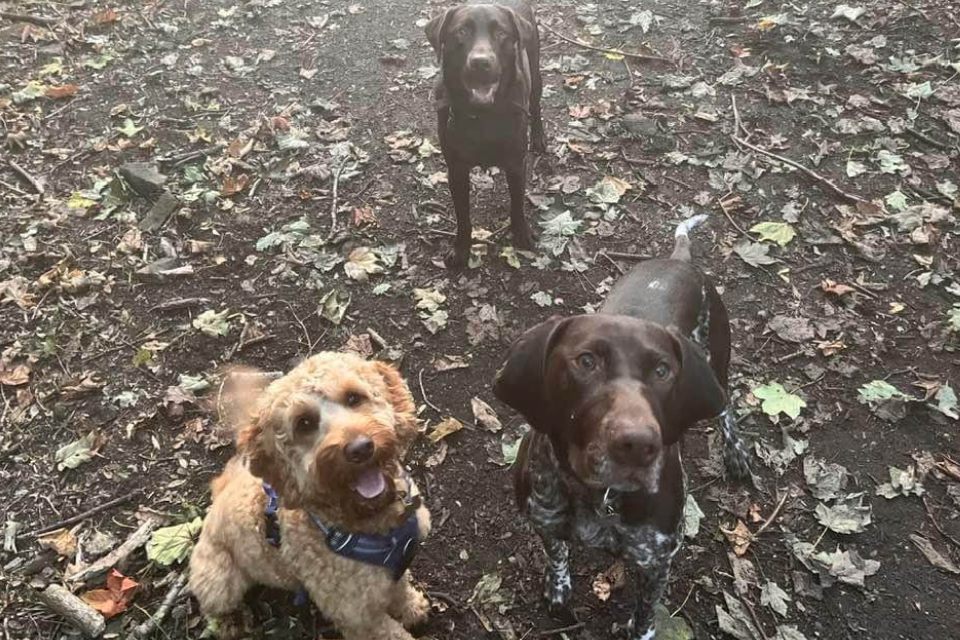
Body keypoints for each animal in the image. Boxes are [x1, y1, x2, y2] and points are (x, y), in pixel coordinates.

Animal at [191, 356, 432, 640]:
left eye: (353, 397)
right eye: (304, 423)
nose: (360, 449)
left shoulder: (395, 570)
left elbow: (400, 588)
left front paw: (412, 608)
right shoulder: (358, 617)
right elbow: (390, 632)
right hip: (218, 581)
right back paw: (230, 623)